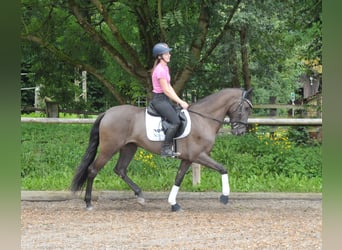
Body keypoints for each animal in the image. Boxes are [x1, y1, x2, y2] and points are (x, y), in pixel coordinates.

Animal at [71, 88, 254, 211]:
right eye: (245, 108)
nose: (240, 131)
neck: (203, 119)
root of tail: (107, 113)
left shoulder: (188, 158)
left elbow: (178, 178)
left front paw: (174, 204)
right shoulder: (199, 155)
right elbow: (223, 168)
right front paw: (224, 197)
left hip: (129, 147)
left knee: (120, 169)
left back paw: (140, 195)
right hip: (109, 148)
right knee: (93, 170)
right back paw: (88, 203)